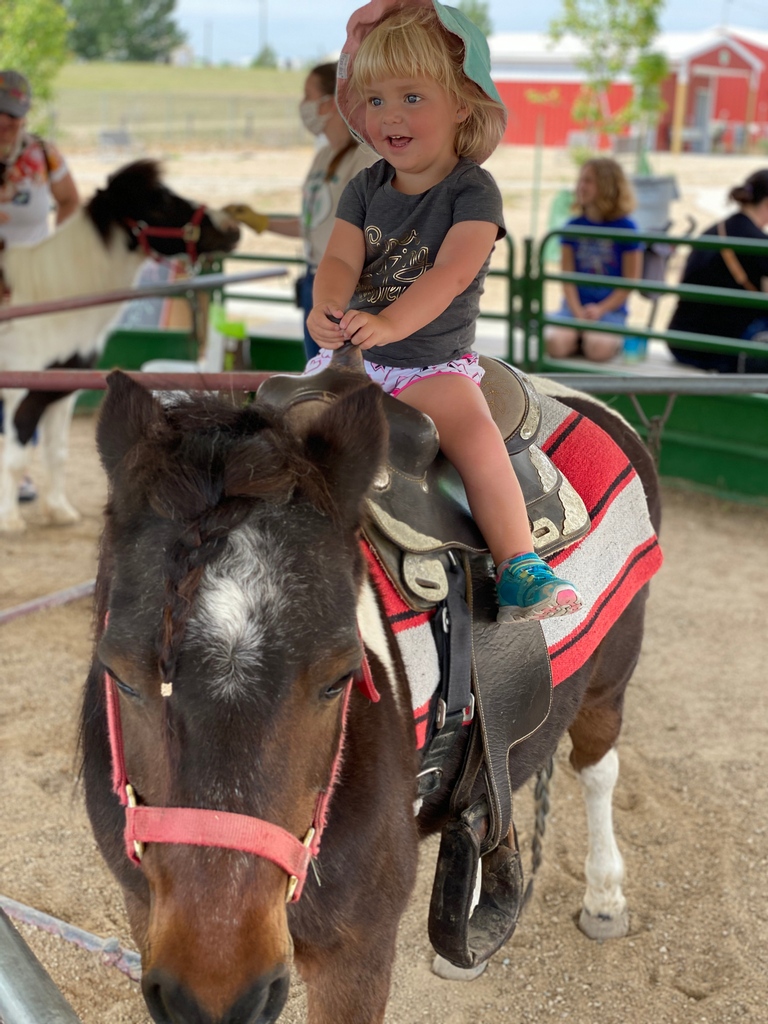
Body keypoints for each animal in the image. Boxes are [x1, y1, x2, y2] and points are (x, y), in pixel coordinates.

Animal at [0, 159, 240, 533]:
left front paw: (59, 510)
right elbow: (16, 458)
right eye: (158, 202)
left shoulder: (57, 392)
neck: (51, 298)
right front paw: (10, 520)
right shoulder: (23, 394)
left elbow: (56, 453)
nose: (231, 228)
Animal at [81, 354, 662, 1024]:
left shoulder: (356, 953)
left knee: (597, 769)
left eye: (340, 679)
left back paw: (604, 900)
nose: (216, 992)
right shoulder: (145, 910)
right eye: (119, 673)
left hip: (609, 682)